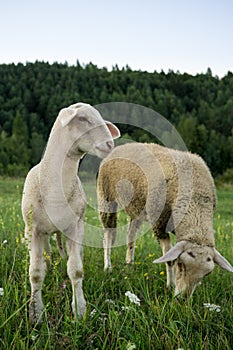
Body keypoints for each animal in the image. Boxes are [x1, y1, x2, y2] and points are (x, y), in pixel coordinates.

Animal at [21, 102, 120, 324]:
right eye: (82, 118)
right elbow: (36, 273)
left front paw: (79, 310)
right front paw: (36, 314)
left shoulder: (75, 227)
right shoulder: (33, 230)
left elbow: (76, 269)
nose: (109, 144)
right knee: (47, 254)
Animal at [97, 142, 233, 296]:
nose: (183, 299)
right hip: (106, 197)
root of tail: (122, 146)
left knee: (130, 236)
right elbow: (169, 260)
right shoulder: (159, 223)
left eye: (206, 274)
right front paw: (170, 286)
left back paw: (129, 265)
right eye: (181, 264)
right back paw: (108, 267)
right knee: (108, 235)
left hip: (137, 206)